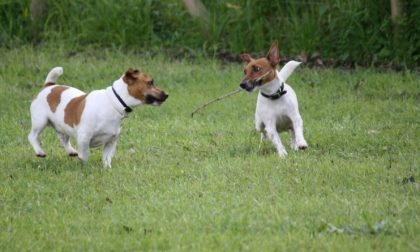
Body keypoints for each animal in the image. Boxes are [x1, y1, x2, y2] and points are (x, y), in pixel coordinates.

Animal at [27, 67, 170, 168]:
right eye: (150, 82)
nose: (167, 95)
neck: (113, 103)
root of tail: (49, 86)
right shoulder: (84, 137)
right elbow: (85, 155)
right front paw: (84, 166)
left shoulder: (111, 141)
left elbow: (107, 158)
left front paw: (107, 169)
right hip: (40, 121)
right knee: (32, 136)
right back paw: (40, 151)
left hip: (62, 125)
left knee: (63, 139)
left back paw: (71, 151)